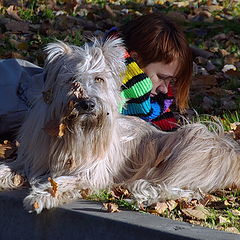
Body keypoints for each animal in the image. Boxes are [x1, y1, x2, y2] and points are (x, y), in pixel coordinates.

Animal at [0, 38, 240, 213]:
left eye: (99, 79)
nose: (87, 104)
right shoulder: (32, 159)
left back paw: (144, 194)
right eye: (71, 79)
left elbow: (61, 181)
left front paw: (40, 197)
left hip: (190, 144)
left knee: (179, 188)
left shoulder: (91, 173)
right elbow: (10, 166)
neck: (74, 133)